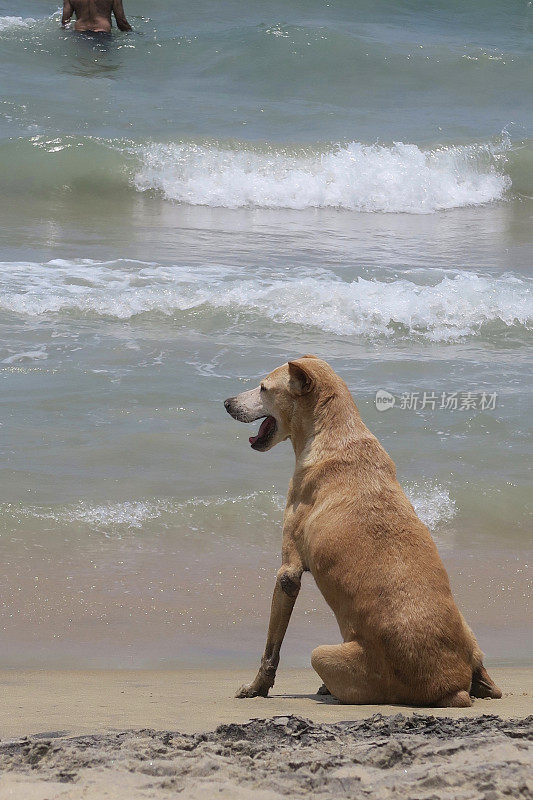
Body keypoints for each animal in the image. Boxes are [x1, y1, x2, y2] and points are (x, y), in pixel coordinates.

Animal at [222, 356, 500, 708]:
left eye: (263, 388)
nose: (227, 403)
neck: (335, 432)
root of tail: (451, 688)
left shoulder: (288, 572)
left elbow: (271, 649)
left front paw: (256, 687)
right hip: (469, 634)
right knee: (490, 684)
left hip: (325, 656)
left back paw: (327, 689)